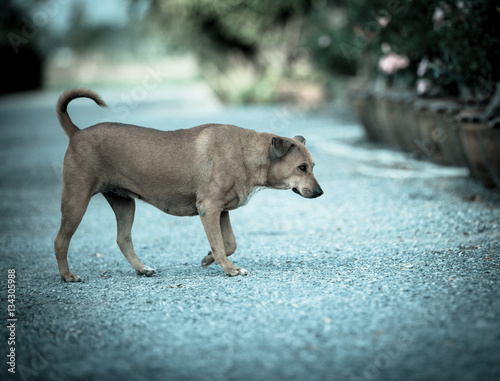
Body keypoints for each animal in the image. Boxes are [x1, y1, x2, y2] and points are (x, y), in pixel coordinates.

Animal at [52, 87, 322, 280]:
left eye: (313, 166)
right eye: (301, 167)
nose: (320, 192)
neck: (246, 153)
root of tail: (77, 132)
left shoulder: (221, 211)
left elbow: (229, 243)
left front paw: (208, 259)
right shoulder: (209, 209)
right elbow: (221, 244)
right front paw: (229, 269)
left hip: (124, 203)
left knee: (123, 239)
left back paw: (142, 268)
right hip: (76, 201)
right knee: (60, 241)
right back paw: (67, 276)